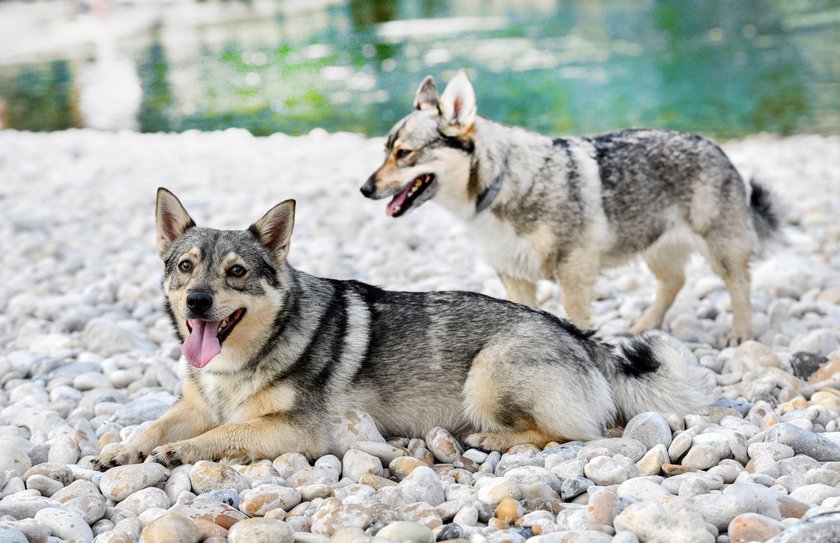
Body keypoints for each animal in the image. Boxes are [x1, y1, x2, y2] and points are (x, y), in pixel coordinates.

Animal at [93, 189, 708, 470]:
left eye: (236, 273)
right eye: (186, 266)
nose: (197, 302)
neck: (237, 363)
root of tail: (583, 339)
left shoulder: (293, 431)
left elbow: (219, 436)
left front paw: (180, 451)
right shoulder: (194, 405)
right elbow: (153, 425)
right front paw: (125, 449)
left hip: (488, 373)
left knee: (571, 434)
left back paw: (491, 439)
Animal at [360, 70, 780, 346]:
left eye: (404, 153)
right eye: (384, 151)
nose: (365, 189)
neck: (501, 184)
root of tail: (717, 147)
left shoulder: (573, 273)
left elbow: (577, 320)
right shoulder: (515, 277)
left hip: (719, 248)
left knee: (740, 284)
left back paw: (741, 334)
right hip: (654, 247)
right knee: (674, 282)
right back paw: (646, 324)